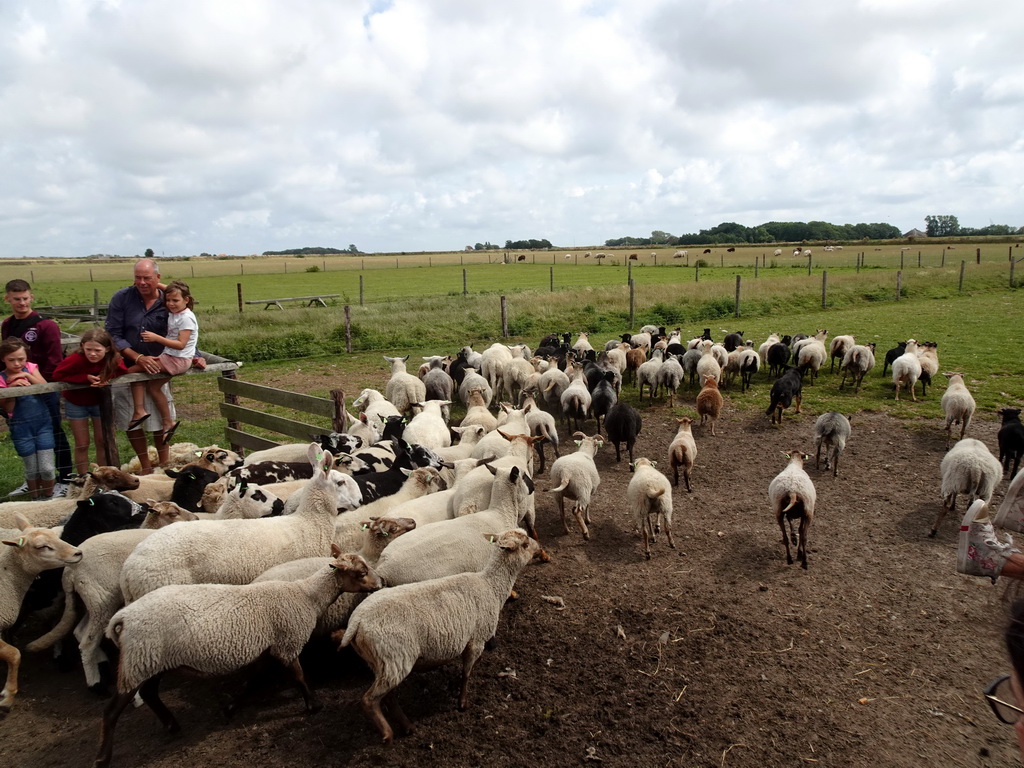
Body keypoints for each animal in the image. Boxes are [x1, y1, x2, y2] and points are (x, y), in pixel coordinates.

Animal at [95, 552, 385, 768]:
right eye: (360, 572)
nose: (381, 581)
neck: (306, 595)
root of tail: (123, 617)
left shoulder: (268, 648)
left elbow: (252, 680)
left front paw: (231, 707)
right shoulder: (287, 642)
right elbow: (298, 675)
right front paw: (313, 705)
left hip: (150, 660)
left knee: (150, 693)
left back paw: (171, 725)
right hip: (140, 659)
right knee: (111, 711)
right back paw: (103, 757)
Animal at [337, 528, 544, 745]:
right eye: (525, 545)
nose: (539, 547)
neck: (491, 585)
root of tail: (356, 622)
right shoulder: (476, 640)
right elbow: (466, 673)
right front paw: (462, 704)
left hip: (383, 663)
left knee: (388, 697)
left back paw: (407, 726)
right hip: (394, 658)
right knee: (369, 700)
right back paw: (388, 734)